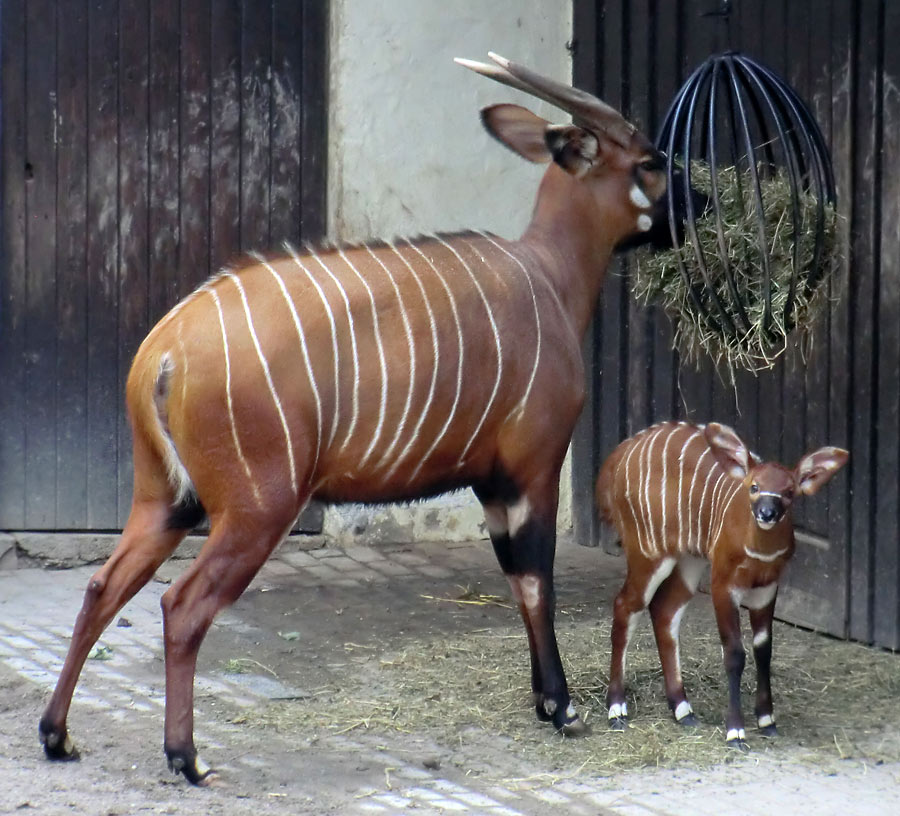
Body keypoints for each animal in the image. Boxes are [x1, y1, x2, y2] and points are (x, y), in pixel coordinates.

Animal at [42, 54, 684, 780]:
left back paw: (58, 735)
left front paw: (546, 701)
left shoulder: (492, 486)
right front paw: (563, 708)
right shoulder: (531, 470)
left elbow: (518, 579)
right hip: (257, 509)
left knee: (102, 586)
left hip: (164, 500)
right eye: (650, 162)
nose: (696, 206)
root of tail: (165, 350)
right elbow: (535, 578)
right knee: (181, 605)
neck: (547, 275)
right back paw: (188, 758)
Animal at [596, 424, 844, 748]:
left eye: (789, 492)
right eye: (754, 486)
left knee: (665, 610)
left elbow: (763, 650)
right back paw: (617, 709)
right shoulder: (723, 586)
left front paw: (767, 720)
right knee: (626, 606)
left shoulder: (766, 590)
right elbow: (735, 653)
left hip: (688, 560)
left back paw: (683, 709)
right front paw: (735, 731)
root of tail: (619, 455)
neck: (759, 554)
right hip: (647, 554)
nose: (766, 513)